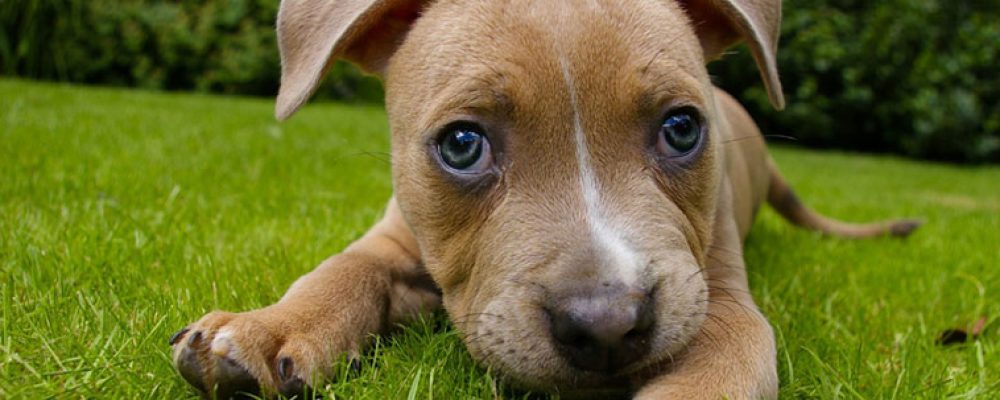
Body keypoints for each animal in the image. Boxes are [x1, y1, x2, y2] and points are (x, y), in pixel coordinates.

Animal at [168, 1, 916, 398]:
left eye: (681, 128)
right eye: (461, 144)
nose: (607, 325)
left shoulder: (723, 301)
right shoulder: (395, 236)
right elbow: (342, 269)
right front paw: (269, 327)